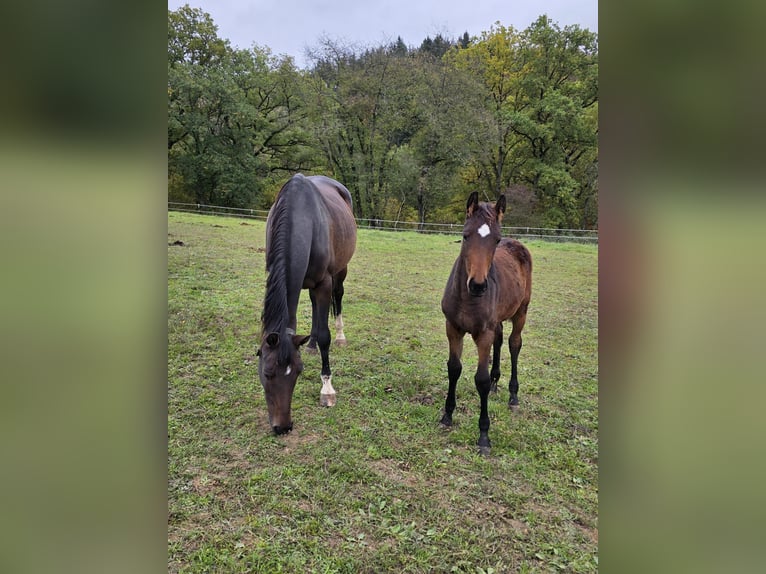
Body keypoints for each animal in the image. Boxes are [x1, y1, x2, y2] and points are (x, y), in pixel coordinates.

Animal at [256, 174, 357, 435]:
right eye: (267, 372)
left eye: (298, 372)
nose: (283, 427)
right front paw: (311, 344)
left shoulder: (324, 283)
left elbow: (325, 335)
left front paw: (327, 390)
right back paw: (310, 344)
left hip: (340, 271)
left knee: (338, 297)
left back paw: (340, 336)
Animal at [440, 192, 533, 455]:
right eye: (465, 235)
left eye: (496, 239)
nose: (479, 285)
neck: (467, 299)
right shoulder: (453, 328)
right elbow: (454, 368)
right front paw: (447, 415)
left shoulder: (483, 334)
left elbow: (479, 379)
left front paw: (483, 435)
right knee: (500, 341)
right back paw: (495, 383)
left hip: (521, 311)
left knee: (514, 344)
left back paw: (513, 395)